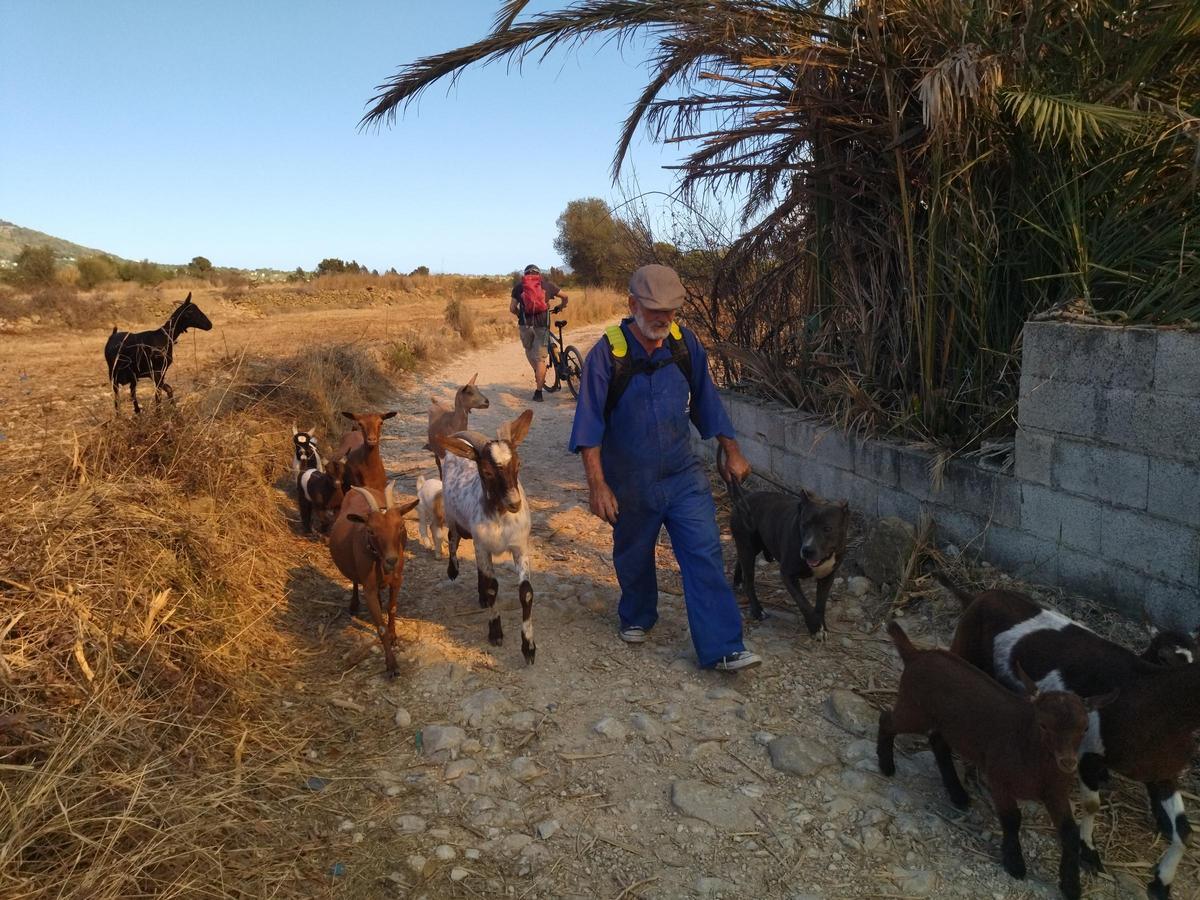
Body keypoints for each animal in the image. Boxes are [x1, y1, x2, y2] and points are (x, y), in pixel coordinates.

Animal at [331, 487, 420, 676]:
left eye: (401, 526)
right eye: (371, 531)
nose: (392, 561)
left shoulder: (397, 580)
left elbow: (392, 608)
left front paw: (394, 636)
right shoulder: (369, 587)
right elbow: (380, 627)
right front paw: (392, 665)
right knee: (354, 581)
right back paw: (354, 605)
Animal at [873, 624, 1113, 897]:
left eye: (1085, 728)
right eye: (1043, 725)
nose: (1068, 762)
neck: (1030, 750)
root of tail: (916, 655)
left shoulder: (1054, 792)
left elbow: (1070, 832)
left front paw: (1071, 885)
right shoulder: (999, 779)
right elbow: (1011, 819)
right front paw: (1015, 864)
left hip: (944, 723)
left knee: (938, 742)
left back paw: (958, 794)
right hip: (915, 710)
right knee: (887, 719)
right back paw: (887, 765)